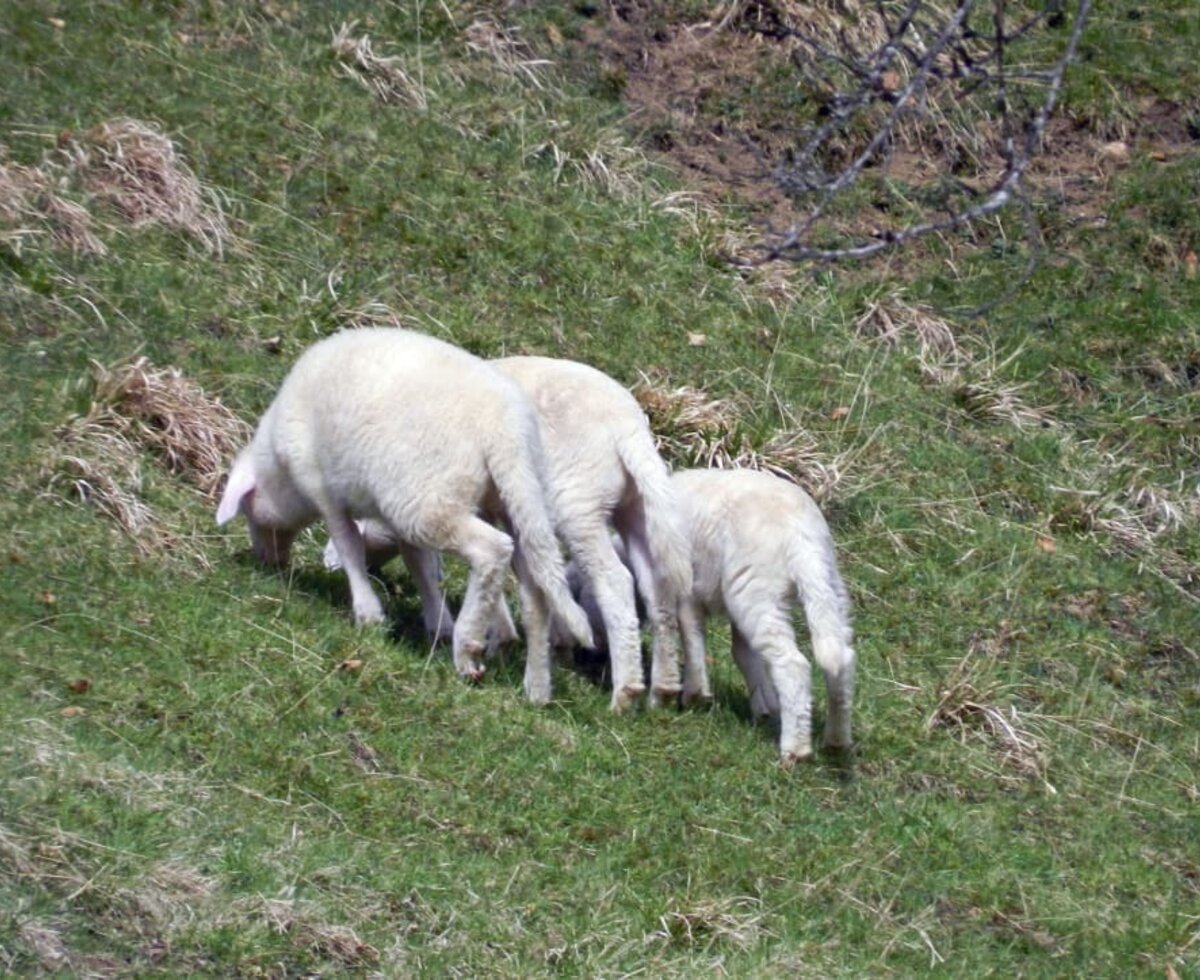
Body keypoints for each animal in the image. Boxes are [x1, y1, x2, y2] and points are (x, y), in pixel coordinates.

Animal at [218, 328, 592, 705]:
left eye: (247, 511)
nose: (266, 561)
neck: (281, 473)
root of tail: (506, 430)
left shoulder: (323, 489)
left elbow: (349, 546)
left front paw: (369, 614)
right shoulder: (394, 518)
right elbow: (419, 564)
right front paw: (437, 623)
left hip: (429, 500)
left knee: (492, 549)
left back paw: (467, 646)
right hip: (514, 498)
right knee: (536, 590)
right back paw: (536, 686)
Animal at [324, 355, 696, 705]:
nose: (330, 564)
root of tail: (627, 428)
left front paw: (496, 637)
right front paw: (544, 642)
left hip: (578, 503)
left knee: (615, 581)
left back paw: (625, 692)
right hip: (634, 508)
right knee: (657, 586)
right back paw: (662, 689)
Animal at [672, 467, 859, 762]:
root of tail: (802, 537)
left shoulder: (688, 590)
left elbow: (692, 636)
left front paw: (694, 694)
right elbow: (744, 654)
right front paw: (766, 706)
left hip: (756, 590)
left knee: (793, 665)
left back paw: (795, 751)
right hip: (829, 588)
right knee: (841, 658)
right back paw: (836, 740)